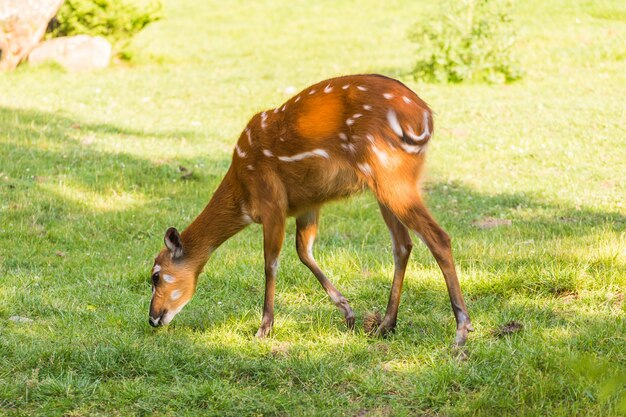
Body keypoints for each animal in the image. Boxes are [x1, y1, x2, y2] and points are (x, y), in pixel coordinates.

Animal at [147, 74, 472, 344]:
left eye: (155, 276)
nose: (152, 318)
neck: (242, 191)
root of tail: (424, 117)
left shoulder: (272, 204)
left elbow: (270, 263)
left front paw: (264, 328)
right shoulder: (307, 205)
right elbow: (304, 251)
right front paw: (348, 313)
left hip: (390, 173)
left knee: (438, 237)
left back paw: (461, 331)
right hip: (385, 185)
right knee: (403, 244)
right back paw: (385, 325)